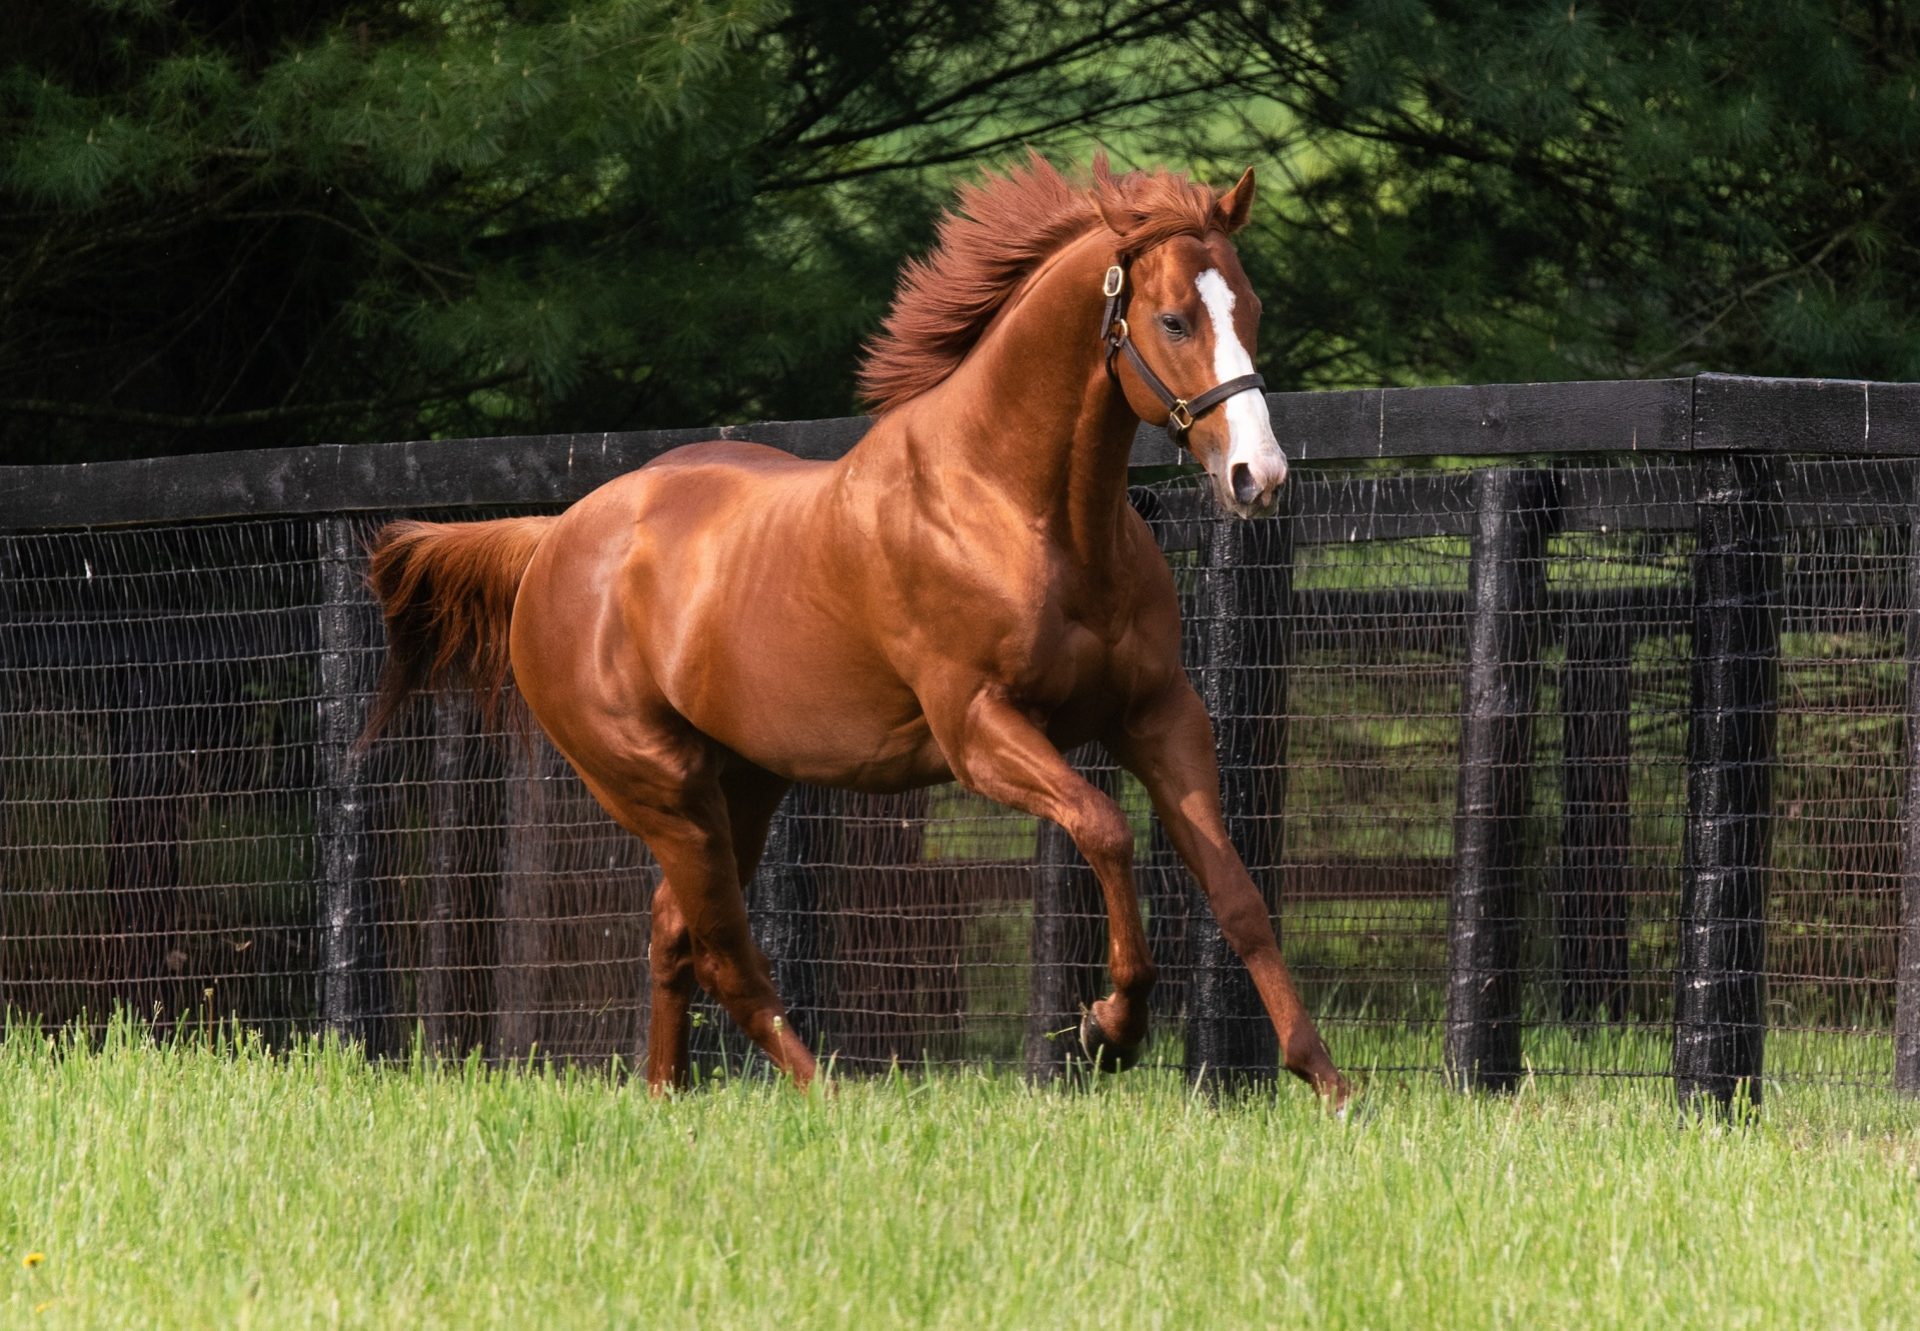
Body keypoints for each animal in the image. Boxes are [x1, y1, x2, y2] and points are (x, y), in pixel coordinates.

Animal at [362, 155, 1351, 1098]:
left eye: (1251, 308)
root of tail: (552, 539)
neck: (1018, 507)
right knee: (726, 955)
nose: (1259, 476)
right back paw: (829, 1094)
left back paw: (666, 1095)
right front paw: (1110, 1028)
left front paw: (1326, 1079)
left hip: (743, 785)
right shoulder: (979, 731)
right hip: (660, 787)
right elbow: (1105, 827)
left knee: (674, 934)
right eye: (1176, 320)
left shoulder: (1158, 715)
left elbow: (1237, 893)